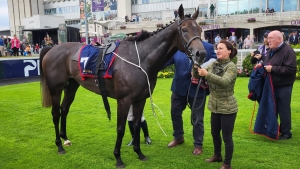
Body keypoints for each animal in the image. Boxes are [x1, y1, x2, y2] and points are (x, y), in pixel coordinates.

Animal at [39, 4, 206, 168]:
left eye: (200, 29)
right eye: (184, 30)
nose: (201, 53)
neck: (140, 60)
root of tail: (52, 48)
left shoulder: (140, 99)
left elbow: (137, 124)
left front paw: (139, 152)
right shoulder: (124, 100)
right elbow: (120, 128)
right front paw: (118, 157)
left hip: (72, 86)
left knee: (64, 109)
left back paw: (65, 139)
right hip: (55, 89)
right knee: (55, 113)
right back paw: (59, 145)